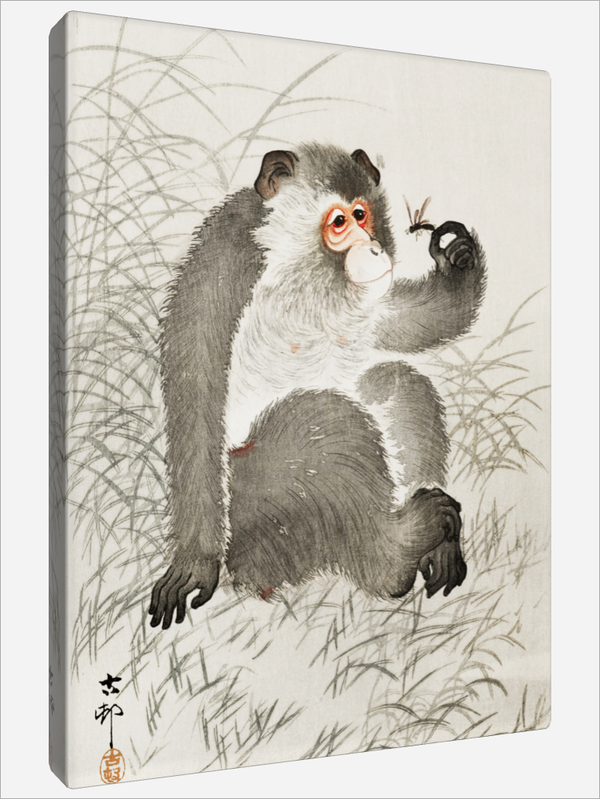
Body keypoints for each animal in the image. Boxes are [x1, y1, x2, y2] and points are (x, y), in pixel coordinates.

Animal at [149, 143, 486, 630]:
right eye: (340, 221)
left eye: (362, 213)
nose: (374, 249)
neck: (300, 272)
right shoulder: (225, 263)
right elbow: (196, 402)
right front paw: (195, 564)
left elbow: (396, 324)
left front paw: (458, 260)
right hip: (255, 505)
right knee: (324, 420)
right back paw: (393, 558)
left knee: (396, 384)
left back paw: (430, 546)